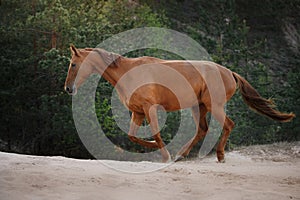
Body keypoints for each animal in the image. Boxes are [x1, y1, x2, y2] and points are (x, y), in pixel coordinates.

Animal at [63, 45, 296, 162]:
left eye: (73, 64)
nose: (68, 89)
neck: (129, 72)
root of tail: (230, 73)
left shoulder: (150, 109)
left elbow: (156, 133)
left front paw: (163, 153)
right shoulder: (138, 112)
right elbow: (133, 136)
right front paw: (159, 149)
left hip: (214, 107)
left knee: (228, 125)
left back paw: (219, 156)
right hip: (198, 107)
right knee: (202, 130)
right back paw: (181, 154)